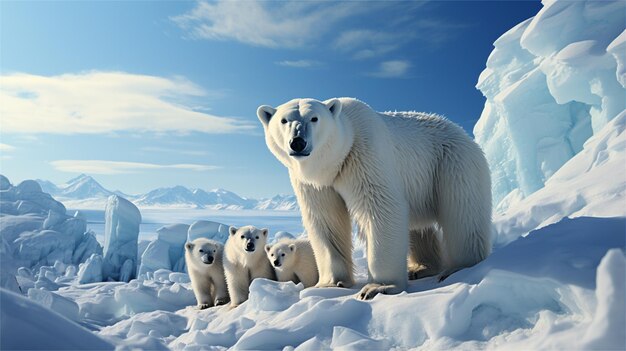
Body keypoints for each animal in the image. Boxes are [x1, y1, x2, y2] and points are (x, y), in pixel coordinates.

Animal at [256, 98, 490, 300]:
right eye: (284, 120)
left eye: (314, 118)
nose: (298, 142)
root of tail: (462, 133)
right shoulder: (316, 184)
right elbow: (326, 220)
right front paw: (330, 283)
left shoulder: (365, 156)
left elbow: (382, 207)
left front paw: (378, 287)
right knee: (419, 227)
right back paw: (420, 268)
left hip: (451, 163)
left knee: (463, 213)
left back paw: (460, 267)